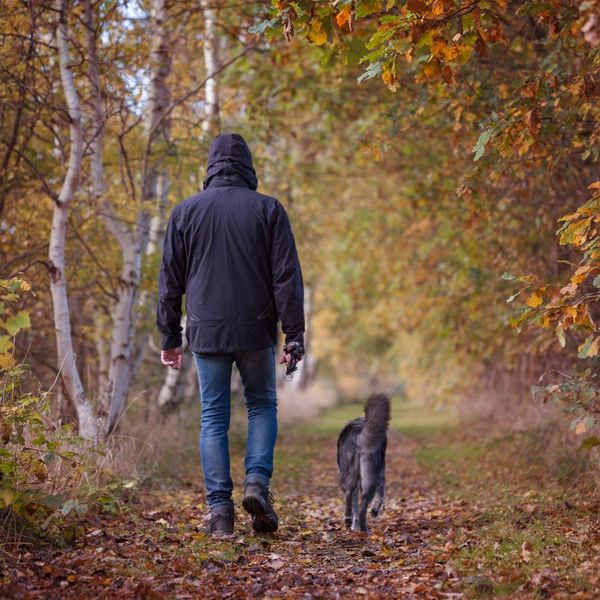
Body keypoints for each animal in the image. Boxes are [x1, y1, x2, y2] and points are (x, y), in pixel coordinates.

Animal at [336, 396, 392, 532]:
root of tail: (359, 432)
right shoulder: (380, 472)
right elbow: (381, 491)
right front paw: (375, 509)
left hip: (351, 474)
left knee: (349, 494)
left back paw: (350, 521)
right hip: (370, 474)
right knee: (362, 505)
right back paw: (363, 528)